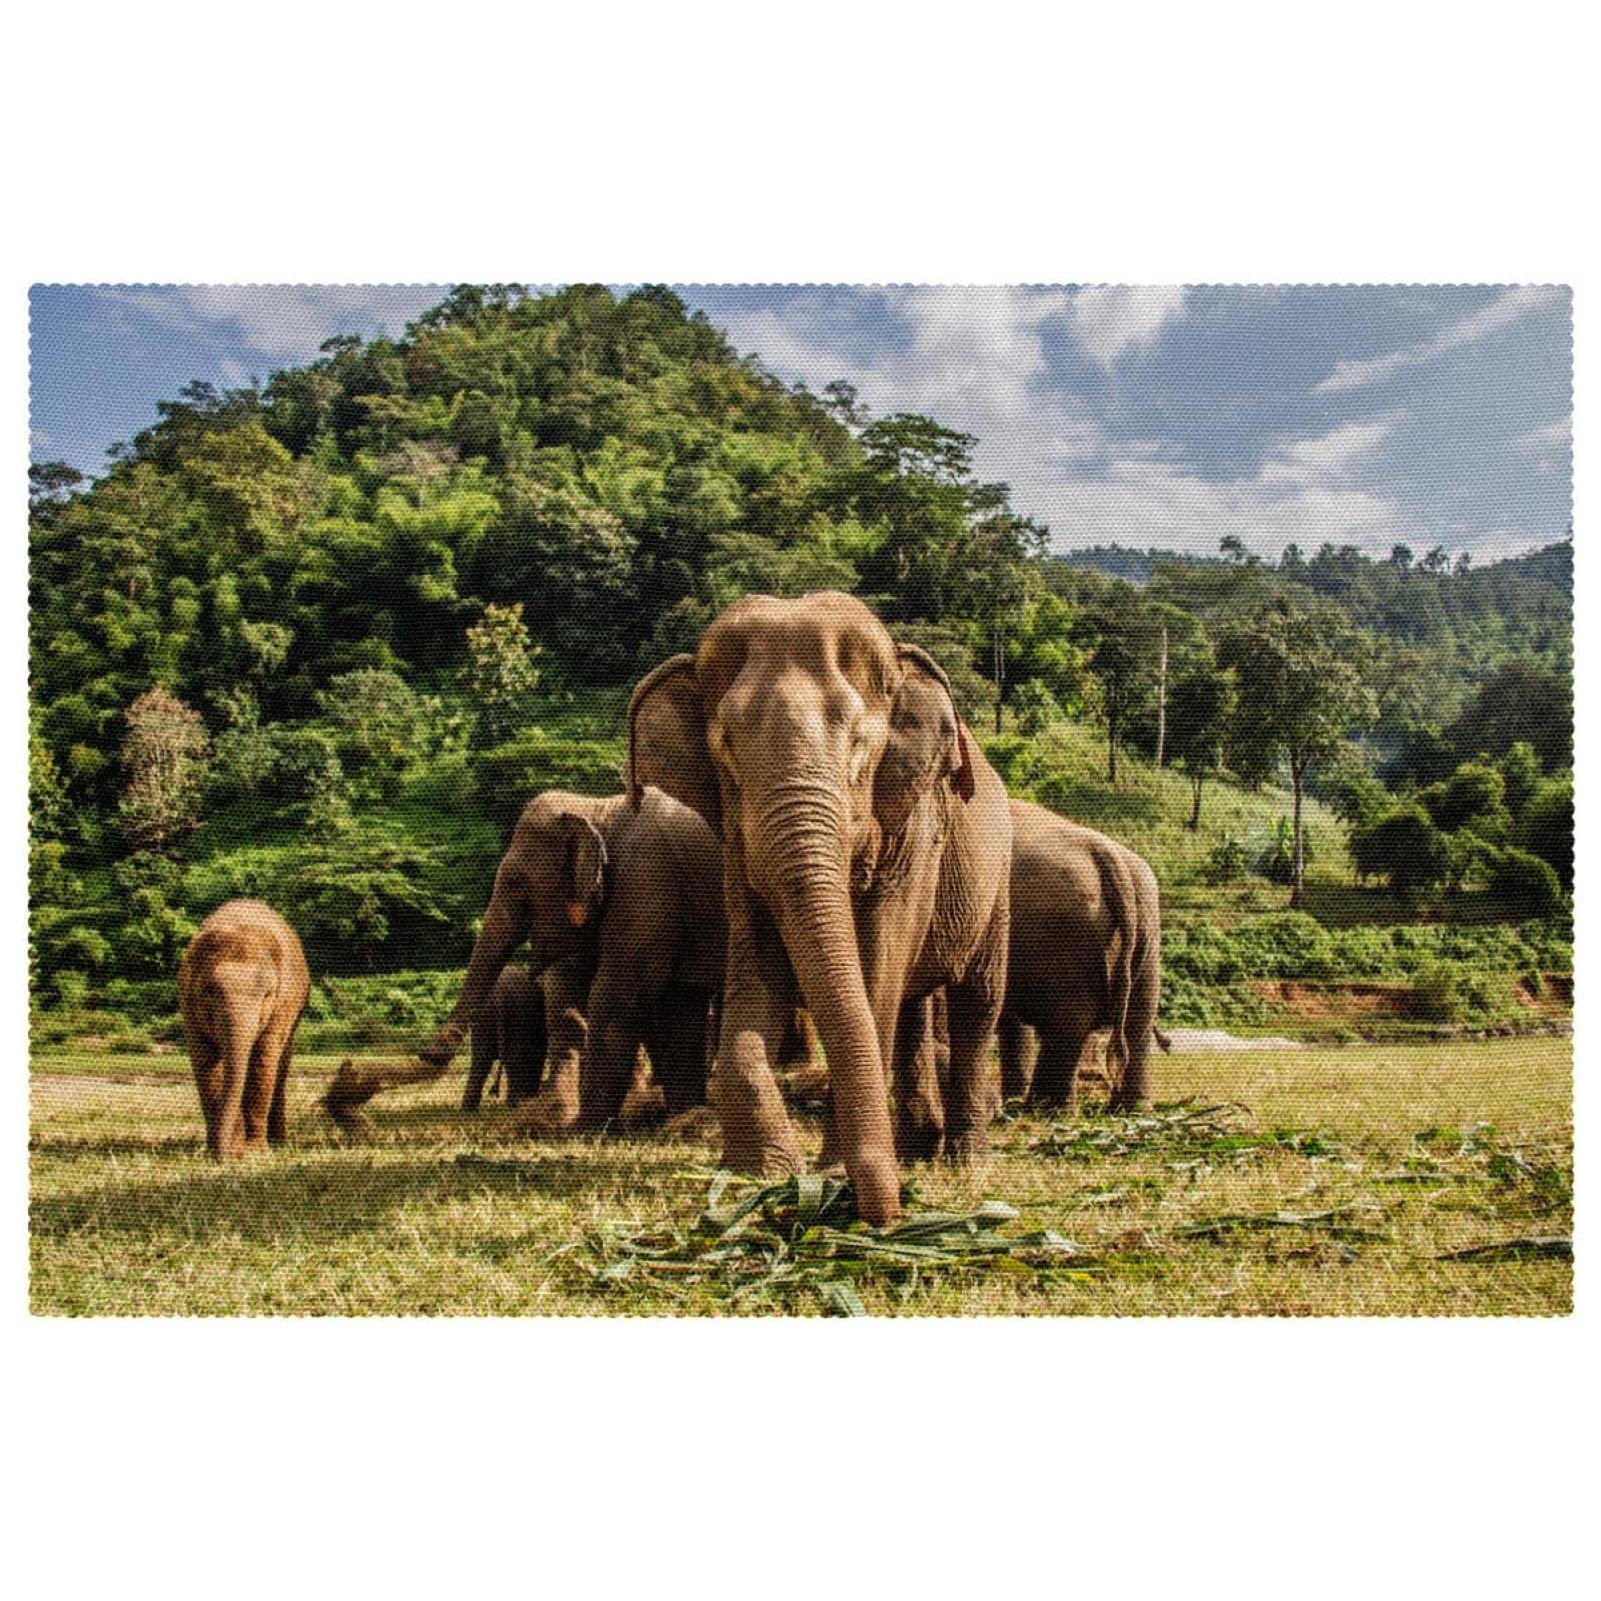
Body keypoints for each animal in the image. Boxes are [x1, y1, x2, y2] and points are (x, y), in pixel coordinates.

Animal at [178, 899, 311, 1160]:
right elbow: (205, 1063)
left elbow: (263, 1060)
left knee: (281, 1064)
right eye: (210, 991)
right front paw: (223, 1151)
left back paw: (279, 1143)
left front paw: (256, 1152)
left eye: (267, 994)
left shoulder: (282, 1005)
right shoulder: (188, 1007)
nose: (225, 1155)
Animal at [628, 590, 1012, 1225]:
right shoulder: (738, 846)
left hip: (998, 882)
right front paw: (760, 1174)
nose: (886, 1213)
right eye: (726, 747)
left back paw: (965, 1161)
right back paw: (916, 1150)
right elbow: (757, 964)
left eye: (859, 743)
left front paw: (829, 1174)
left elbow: (877, 967)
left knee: (976, 1003)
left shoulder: (915, 830)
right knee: (914, 1005)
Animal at [996, 799, 1164, 1113]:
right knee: (1139, 1020)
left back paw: (1044, 1110)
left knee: (1068, 1021)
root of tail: (1107, 855)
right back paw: (1130, 1109)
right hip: (1148, 926)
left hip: (1061, 934)